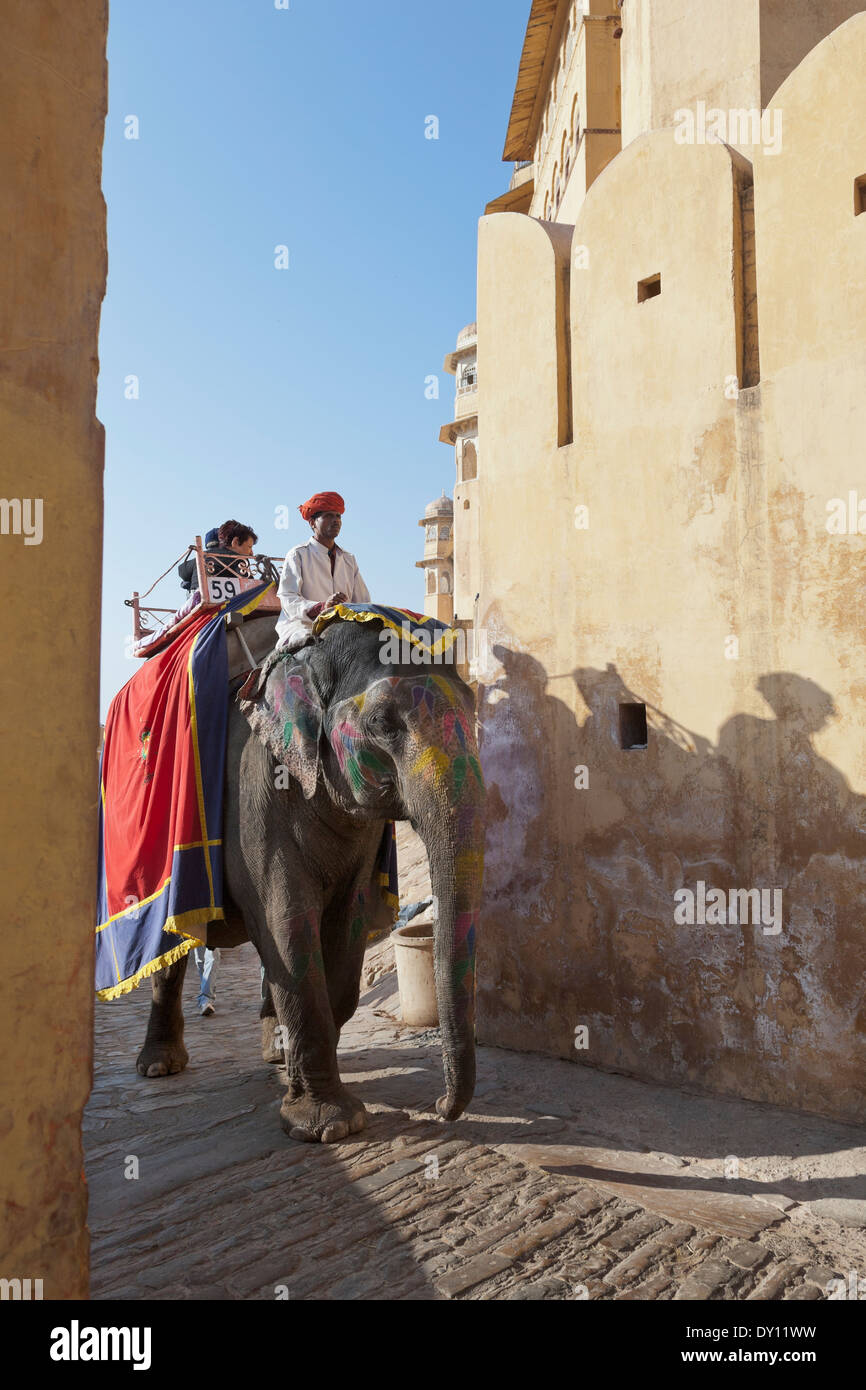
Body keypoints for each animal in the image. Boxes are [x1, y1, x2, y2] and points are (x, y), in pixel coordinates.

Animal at [138, 614, 483, 1145]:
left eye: (474, 707)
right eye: (382, 723)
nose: (443, 1107)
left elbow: (346, 924)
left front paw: (320, 1094)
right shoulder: (257, 794)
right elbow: (286, 918)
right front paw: (329, 1126)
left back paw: (275, 1053)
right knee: (170, 949)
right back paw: (160, 1067)